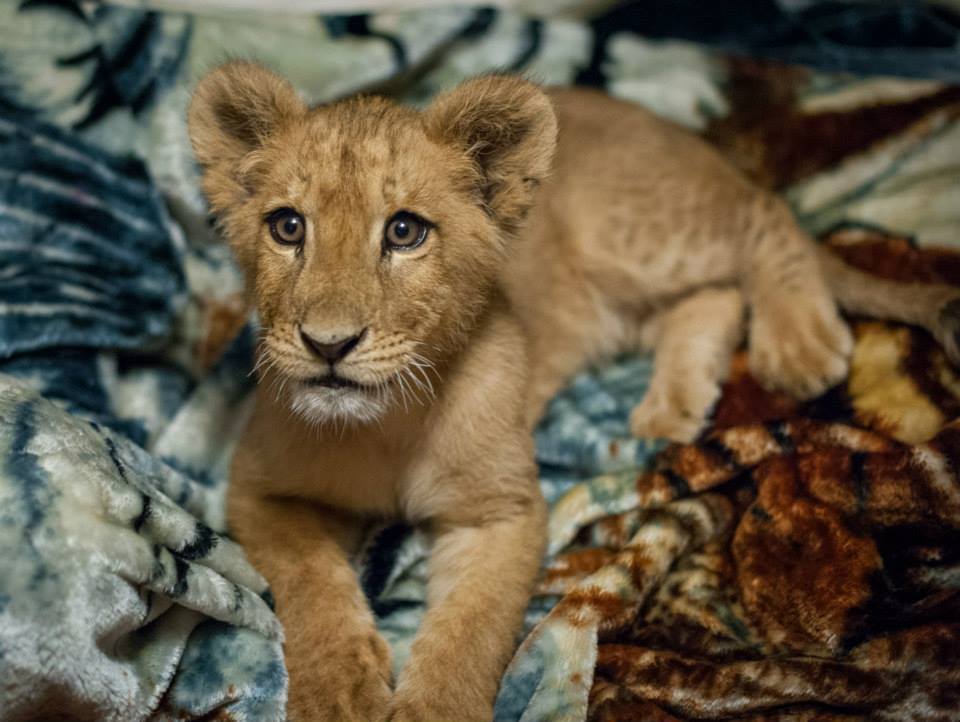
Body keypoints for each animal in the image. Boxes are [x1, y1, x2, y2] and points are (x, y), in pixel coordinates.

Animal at [188, 61, 960, 721]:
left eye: (404, 231)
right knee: (711, 299)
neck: (388, 421)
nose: (328, 345)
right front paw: (340, 691)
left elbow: (471, 628)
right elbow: (312, 581)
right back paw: (671, 408)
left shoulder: (504, 512)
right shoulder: (257, 490)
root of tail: (671, 129)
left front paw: (432, 704)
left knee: (769, 224)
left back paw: (797, 343)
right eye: (288, 226)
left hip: (644, 235)